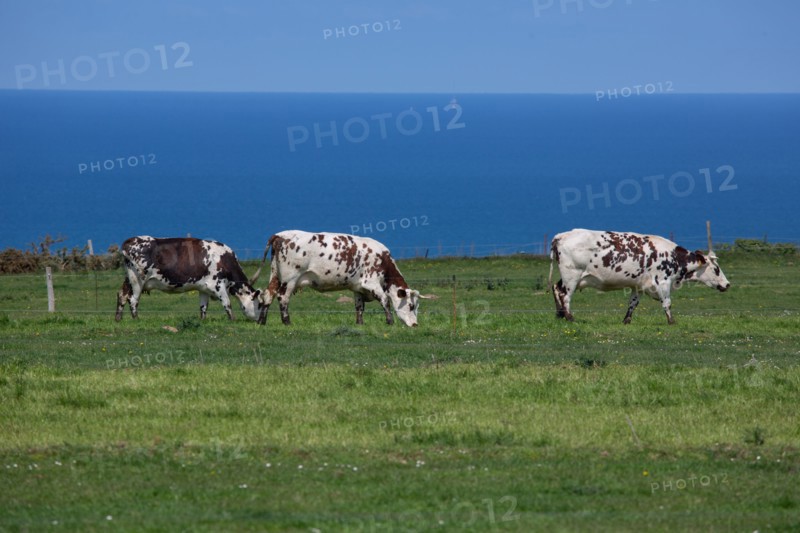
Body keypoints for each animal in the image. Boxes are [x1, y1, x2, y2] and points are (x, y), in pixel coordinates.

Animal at [115, 236, 267, 323]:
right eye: (259, 304)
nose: (261, 321)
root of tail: (130, 241)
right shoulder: (218, 285)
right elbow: (227, 303)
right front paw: (232, 320)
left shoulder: (204, 287)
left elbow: (203, 306)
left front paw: (203, 321)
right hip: (137, 280)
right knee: (133, 299)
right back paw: (136, 319)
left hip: (128, 277)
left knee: (122, 295)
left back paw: (118, 318)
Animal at [251, 230, 431, 327]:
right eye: (410, 306)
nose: (415, 325)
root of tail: (280, 235)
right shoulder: (372, 283)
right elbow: (385, 300)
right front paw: (390, 321)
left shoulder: (358, 288)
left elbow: (359, 307)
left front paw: (360, 323)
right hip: (290, 279)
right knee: (283, 298)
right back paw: (287, 321)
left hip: (275, 275)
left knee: (268, 295)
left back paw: (262, 321)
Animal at [549, 229, 730, 324]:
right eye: (716, 269)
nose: (727, 284)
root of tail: (562, 235)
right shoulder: (663, 282)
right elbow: (667, 303)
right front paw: (671, 321)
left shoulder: (639, 285)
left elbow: (633, 303)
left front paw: (626, 321)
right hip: (572, 275)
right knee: (565, 295)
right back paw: (569, 317)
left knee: (556, 288)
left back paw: (560, 315)